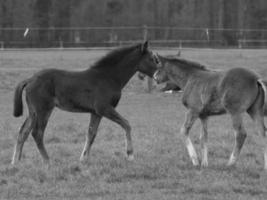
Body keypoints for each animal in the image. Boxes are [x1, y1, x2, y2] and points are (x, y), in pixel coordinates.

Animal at [12, 41, 159, 165]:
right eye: (151, 59)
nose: (158, 76)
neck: (108, 77)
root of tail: (30, 79)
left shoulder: (96, 112)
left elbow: (91, 133)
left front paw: (83, 159)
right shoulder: (104, 108)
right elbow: (127, 124)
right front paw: (130, 155)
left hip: (33, 112)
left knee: (23, 132)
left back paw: (16, 162)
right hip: (44, 110)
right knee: (37, 133)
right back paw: (48, 161)